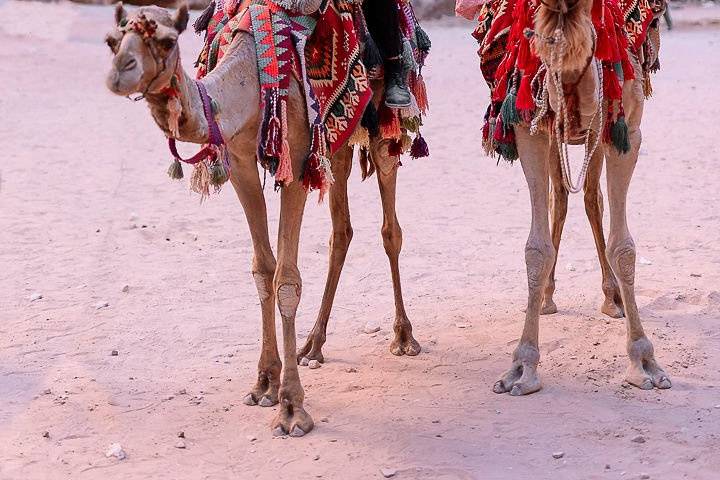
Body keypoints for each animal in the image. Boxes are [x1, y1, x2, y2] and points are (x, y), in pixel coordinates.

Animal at [104, 1, 420, 436]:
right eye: (112, 41)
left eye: (168, 41)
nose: (120, 72)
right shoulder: (240, 161)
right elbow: (262, 269)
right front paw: (264, 383)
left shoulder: (297, 162)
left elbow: (286, 278)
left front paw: (291, 408)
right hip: (337, 139)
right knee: (341, 230)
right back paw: (313, 345)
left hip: (384, 127)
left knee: (391, 229)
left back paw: (404, 337)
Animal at [492, 0, 672, 398]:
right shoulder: (530, 128)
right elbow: (536, 248)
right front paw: (521, 368)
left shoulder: (625, 129)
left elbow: (623, 247)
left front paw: (644, 362)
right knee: (560, 197)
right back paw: (546, 298)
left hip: (600, 135)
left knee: (592, 198)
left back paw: (613, 299)